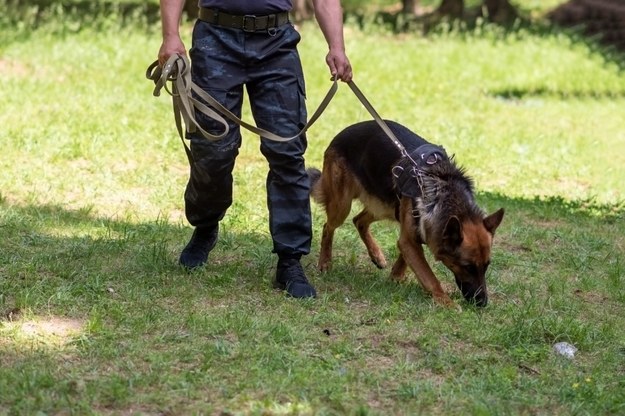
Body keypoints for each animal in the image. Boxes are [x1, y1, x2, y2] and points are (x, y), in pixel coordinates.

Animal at [308, 118, 502, 308]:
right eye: (467, 266)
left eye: (486, 266)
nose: (482, 303)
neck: (443, 191)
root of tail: (342, 134)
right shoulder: (409, 239)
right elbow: (428, 276)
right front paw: (446, 302)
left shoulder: (414, 233)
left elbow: (406, 256)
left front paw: (397, 275)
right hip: (342, 207)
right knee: (328, 227)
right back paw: (325, 262)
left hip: (384, 206)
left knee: (359, 220)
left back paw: (376, 255)